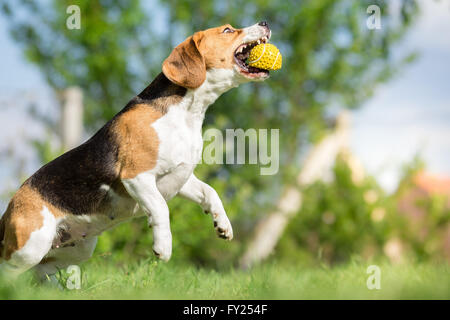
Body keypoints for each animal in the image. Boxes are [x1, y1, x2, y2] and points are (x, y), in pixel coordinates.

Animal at [0, 21, 270, 278]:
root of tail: (10, 206)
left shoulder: (181, 176)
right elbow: (161, 208)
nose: (265, 23)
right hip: (30, 247)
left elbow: (210, 192)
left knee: (40, 276)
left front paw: (223, 224)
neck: (186, 111)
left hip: (72, 251)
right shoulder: (137, 176)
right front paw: (163, 247)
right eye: (228, 30)